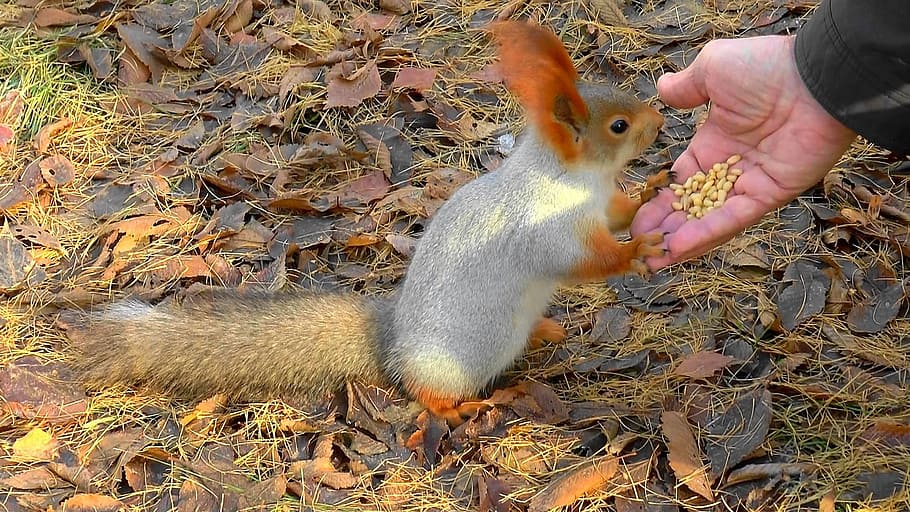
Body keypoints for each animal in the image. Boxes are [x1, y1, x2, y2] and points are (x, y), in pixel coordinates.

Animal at [63, 20, 671, 426]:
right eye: (619, 126)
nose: (660, 120)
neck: (574, 179)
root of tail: (393, 344)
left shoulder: (599, 204)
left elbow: (619, 211)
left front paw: (652, 191)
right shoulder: (546, 227)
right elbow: (583, 260)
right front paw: (637, 250)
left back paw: (542, 331)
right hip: (450, 366)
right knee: (428, 393)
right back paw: (463, 405)